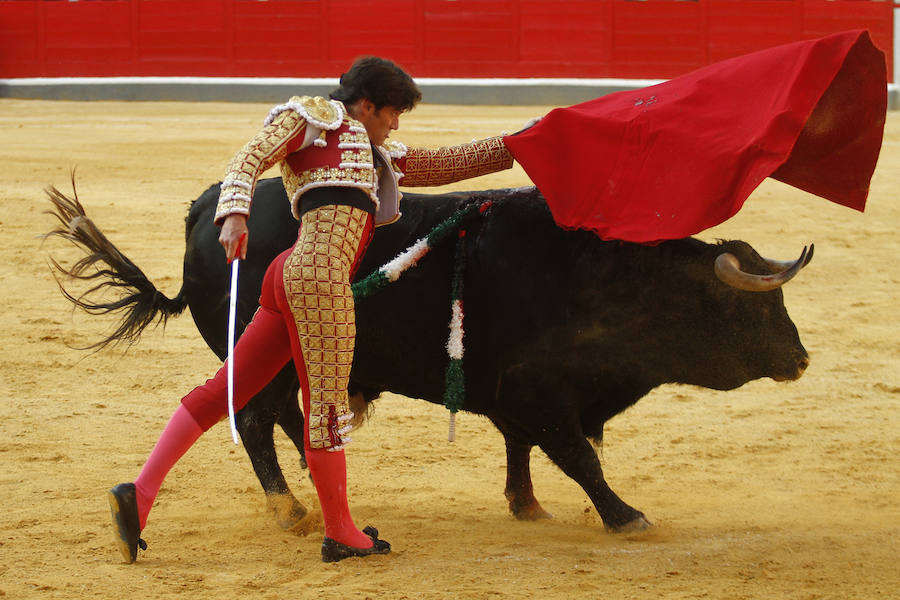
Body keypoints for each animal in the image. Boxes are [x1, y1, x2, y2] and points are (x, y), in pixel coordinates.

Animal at [45, 179, 812, 536]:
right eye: (752, 308)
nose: (802, 359)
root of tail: (208, 212)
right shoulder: (538, 392)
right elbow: (577, 458)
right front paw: (626, 517)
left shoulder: (511, 395)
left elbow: (521, 450)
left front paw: (527, 507)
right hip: (261, 356)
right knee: (258, 421)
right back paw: (290, 509)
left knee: (288, 418)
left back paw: (316, 485)